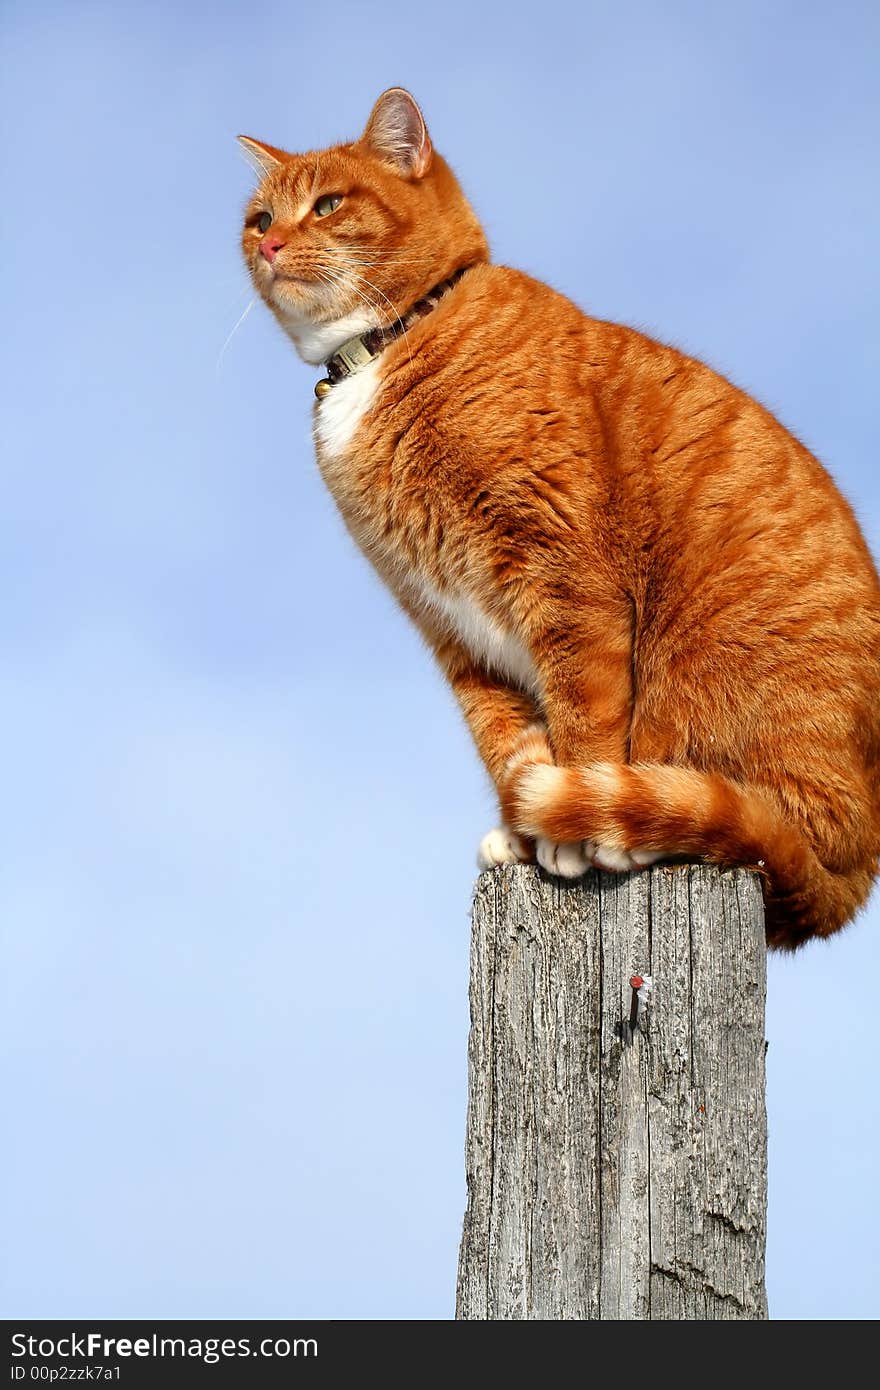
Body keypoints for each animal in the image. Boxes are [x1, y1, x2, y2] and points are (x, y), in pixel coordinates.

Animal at [239, 86, 878, 950]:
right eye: (257, 216)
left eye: (329, 204)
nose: (271, 243)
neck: (389, 347)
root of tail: (858, 868)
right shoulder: (448, 623)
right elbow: (505, 739)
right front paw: (525, 827)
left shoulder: (564, 571)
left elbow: (582, 712)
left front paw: (569, 825)